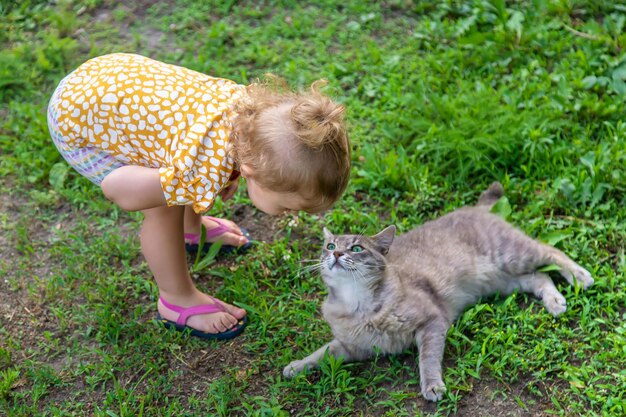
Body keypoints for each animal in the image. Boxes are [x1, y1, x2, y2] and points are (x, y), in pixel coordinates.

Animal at [280, 182, 592, 400]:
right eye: (330, 246)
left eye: (357, 248)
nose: (336, 254)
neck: (358, 306)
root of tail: (474, 208)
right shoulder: (350, 346)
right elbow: (321, 353)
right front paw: (296, 366)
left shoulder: (432, 321)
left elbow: (427, 359)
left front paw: (432, 385)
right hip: (504, 281)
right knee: (540, 276)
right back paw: (554, 300)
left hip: (514, 254)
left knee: (551, 251)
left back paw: (579, 276)